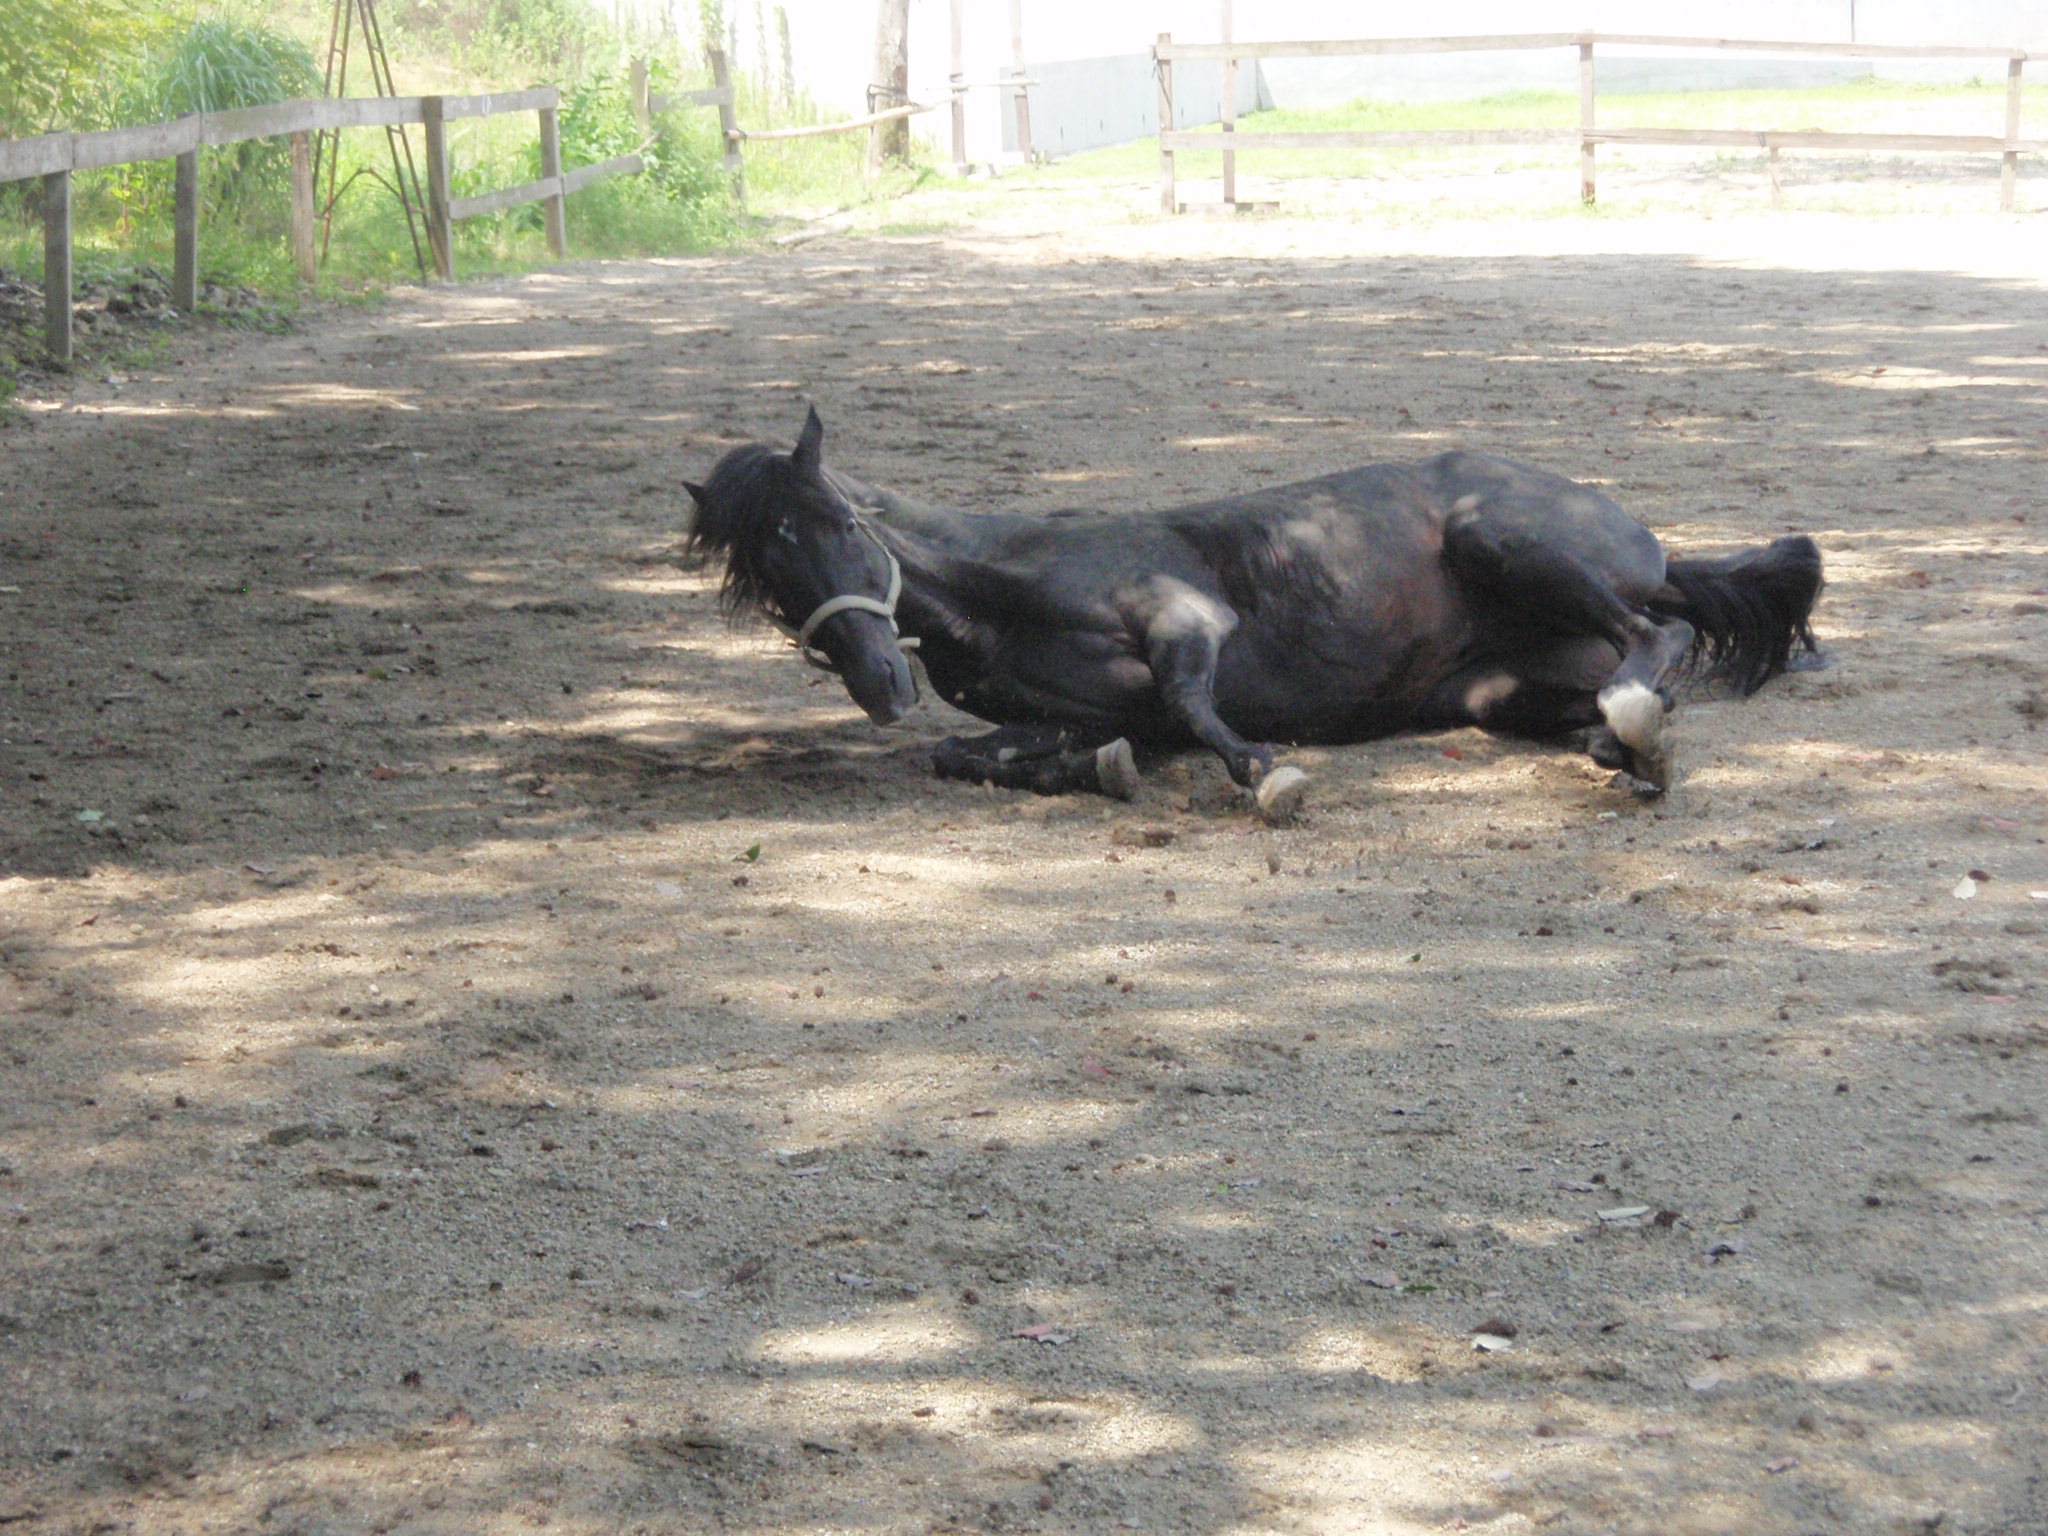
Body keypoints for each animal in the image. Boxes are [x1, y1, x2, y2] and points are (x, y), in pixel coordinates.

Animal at [685, 408, 1821, 816]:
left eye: (837, 522)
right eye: (774, 584)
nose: (881, 686)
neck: (1003, 579)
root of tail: (1645, 544)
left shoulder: (1185, 622)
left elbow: (1199, 707)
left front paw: (1268, 774)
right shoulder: (1081, 709)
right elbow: (970, 755)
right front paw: (1091, 771)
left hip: (1504, 540)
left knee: (1659, 636)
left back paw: (1635, 725)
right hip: (1498, 690)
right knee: (1627, 683)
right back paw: (1622, 746)